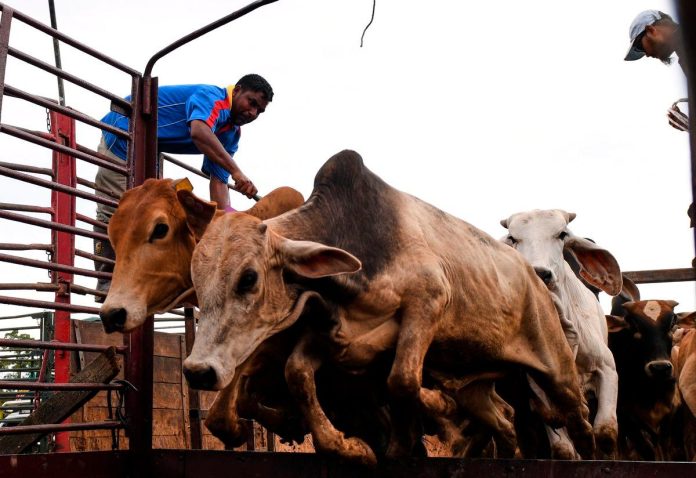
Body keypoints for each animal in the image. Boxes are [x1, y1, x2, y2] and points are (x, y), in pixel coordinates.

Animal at [183, 149, 595, 464]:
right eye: (197, 284)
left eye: (248, 278)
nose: (198, 371)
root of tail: (536, 280)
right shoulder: (338, 335)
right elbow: (297, 373)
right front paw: (352, 448)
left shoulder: (428, 303)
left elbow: (402, 380)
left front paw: (436, 409)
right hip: (475, 385)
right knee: (504, 419)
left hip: (558, 370)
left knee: (581, 418)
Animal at [500, 209, 621, 459]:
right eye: (513, 238)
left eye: (562, 234)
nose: (540, 273)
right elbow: (563, 448)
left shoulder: (607, 368)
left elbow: (605, 432)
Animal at [606, 299, 679, 460]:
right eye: (633, 324)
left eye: (672, 323)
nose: (660, 368)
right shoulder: (625, 416)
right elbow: (647, 450)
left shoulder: (668, 414)